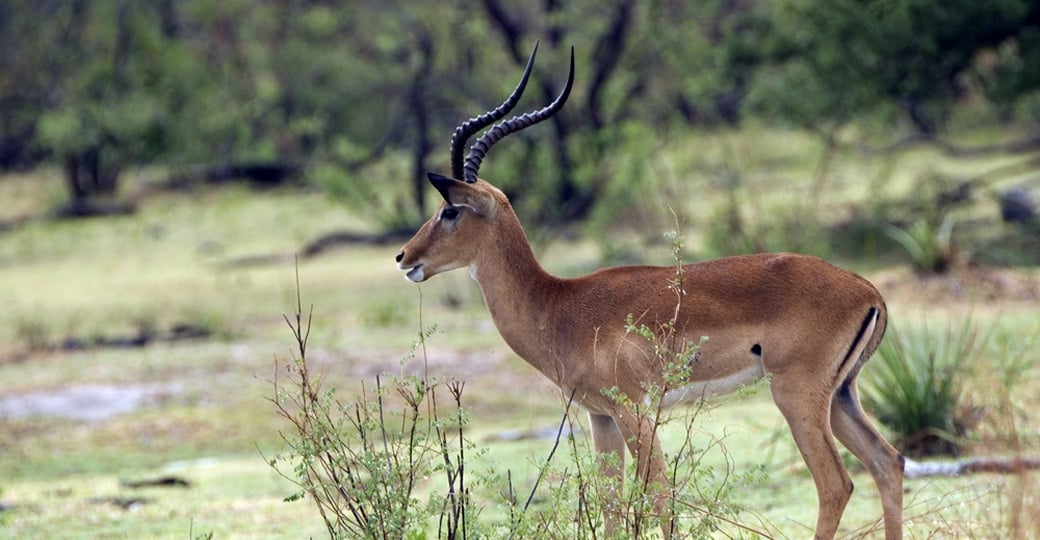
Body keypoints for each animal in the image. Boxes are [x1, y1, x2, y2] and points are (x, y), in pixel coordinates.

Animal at [395, 44, 905, 539]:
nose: (403, 257)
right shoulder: (600, 417)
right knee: (889, 461)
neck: (557, 305)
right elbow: (611, 506)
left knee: (836, 484)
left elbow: (659, 496)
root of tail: (869, 292)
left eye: (450, 210)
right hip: (840, 396)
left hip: (796, 395)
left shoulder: (634, 411)